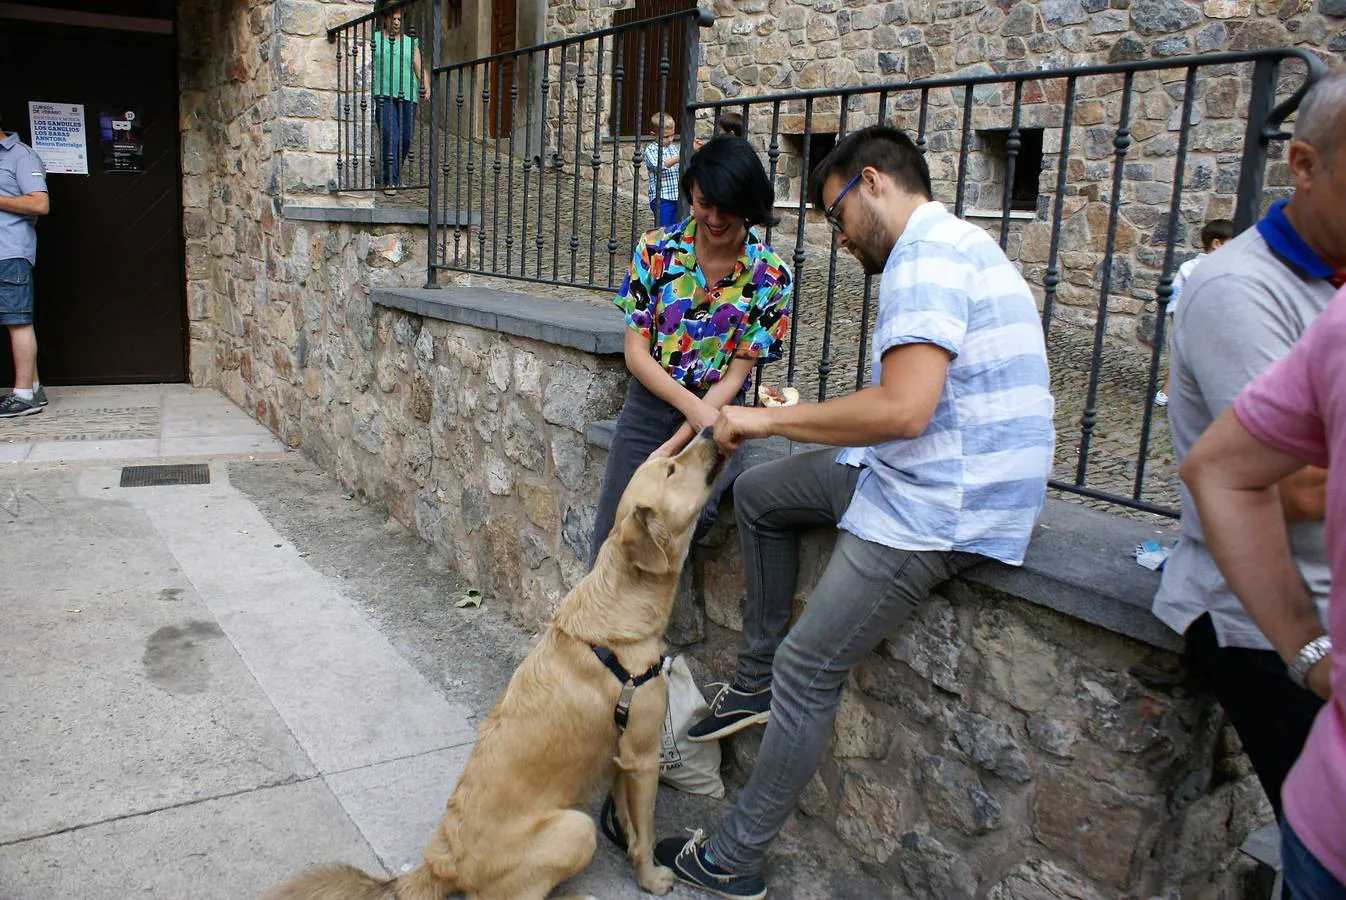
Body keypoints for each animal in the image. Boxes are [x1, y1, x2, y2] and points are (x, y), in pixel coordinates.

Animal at [262, 427, 726, 898]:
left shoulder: (622, 755)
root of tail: (441, 865)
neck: (618, 609)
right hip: (575, 830)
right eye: (671, 469)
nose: (709, 429)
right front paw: (650, 876)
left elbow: (629, 821)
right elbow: (645, 831)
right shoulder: (643, 754)